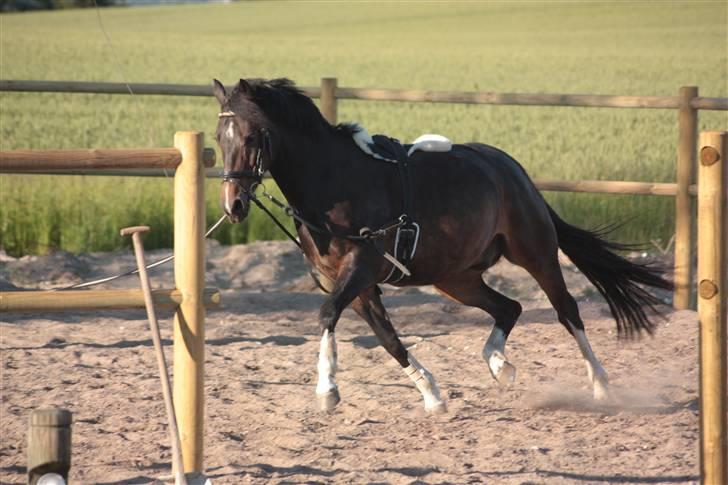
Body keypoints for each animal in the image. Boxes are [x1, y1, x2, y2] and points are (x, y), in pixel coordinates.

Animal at [213, 77, 672, 414]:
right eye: (219, 136)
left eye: (251, 136)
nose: (233, 205)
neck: (333, 184)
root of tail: (513, 169)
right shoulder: (355, 285)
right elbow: (387, 338)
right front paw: (432, 396)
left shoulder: (361, 268)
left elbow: (328, 315)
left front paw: (327, 390)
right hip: (456, 278)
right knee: (509, 308)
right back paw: (500, 365)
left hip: (535, 253)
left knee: (566, 310)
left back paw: (600, 385)